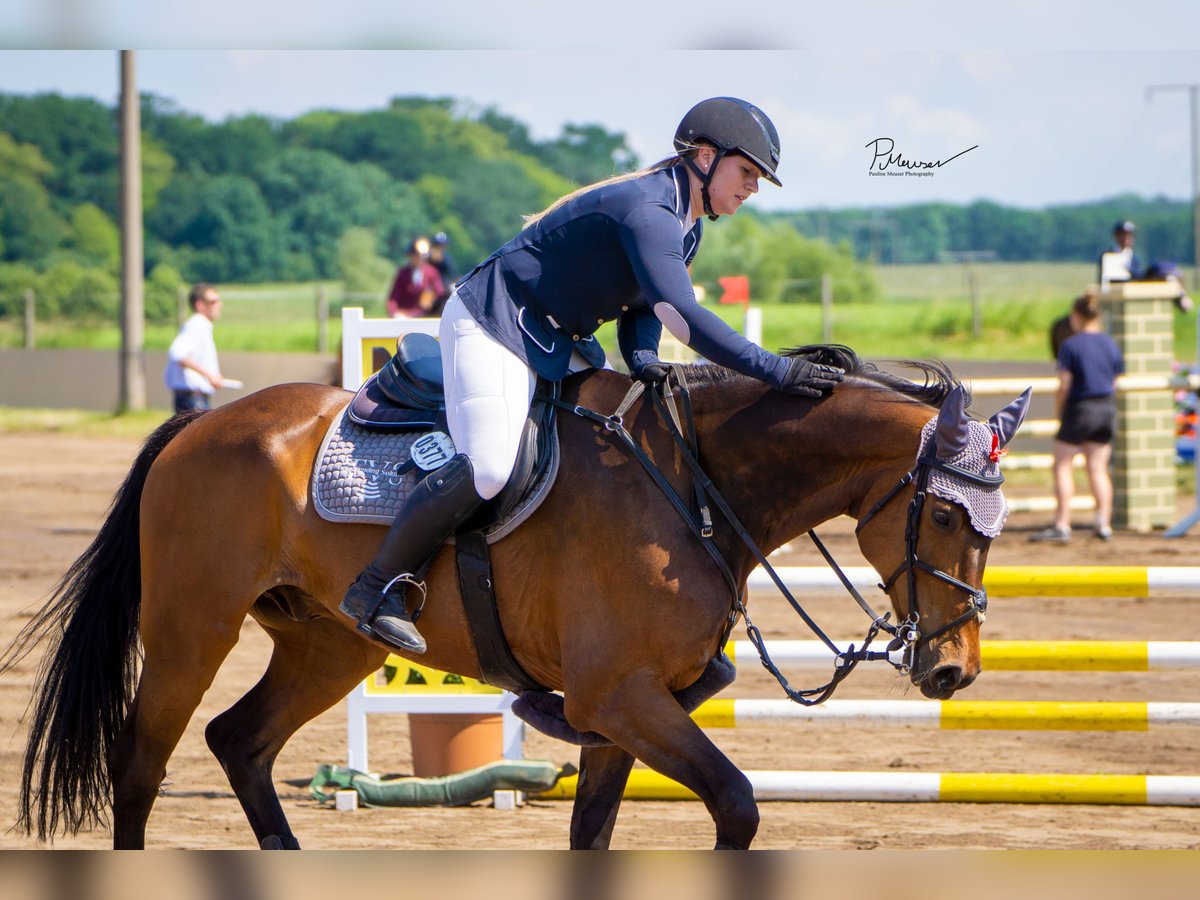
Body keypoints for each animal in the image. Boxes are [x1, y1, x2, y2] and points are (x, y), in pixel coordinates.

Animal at [4, 348, 1027, 854]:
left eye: (998, 520)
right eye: (943, 513)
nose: (954, 669)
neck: (689, 482)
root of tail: (202, 423)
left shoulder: (627, 714)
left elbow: (592, 832)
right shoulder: (620, 698)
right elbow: (737, 806)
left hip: (328, 645)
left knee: (240, 742)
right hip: (192, 630)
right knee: (141, 767)